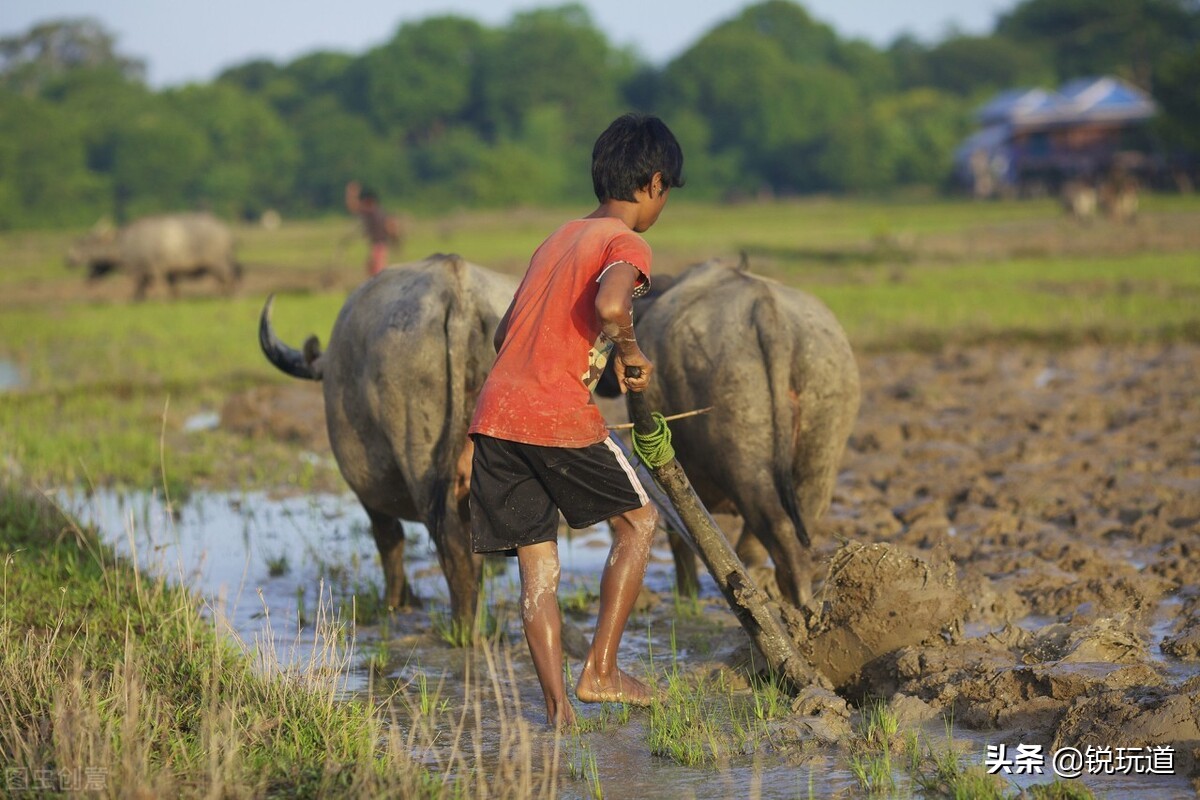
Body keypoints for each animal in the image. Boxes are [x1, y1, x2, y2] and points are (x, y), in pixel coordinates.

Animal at [67, 212, 243, 299]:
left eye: (85, 244)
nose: (68, 259)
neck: (125, 243)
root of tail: (226, 231)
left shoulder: (148, 271)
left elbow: (143, 290)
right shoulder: (166, 273)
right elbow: (171, 289)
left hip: (218, 263)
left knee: (229, 278)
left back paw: (229, 296)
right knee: (226, 279)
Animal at [260, 255, 513, 623]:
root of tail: (459, 295)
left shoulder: (368, 493)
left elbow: (388, 538)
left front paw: (396, 601)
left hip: (419, 461)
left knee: (449, 543)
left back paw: (462, 626)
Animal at [604, 256, 859, 606]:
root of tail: (768, 311)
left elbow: (681, 539)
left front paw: (688, 594)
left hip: (743, 458)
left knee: (777, 526)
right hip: (821, 445)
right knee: (800, 524)